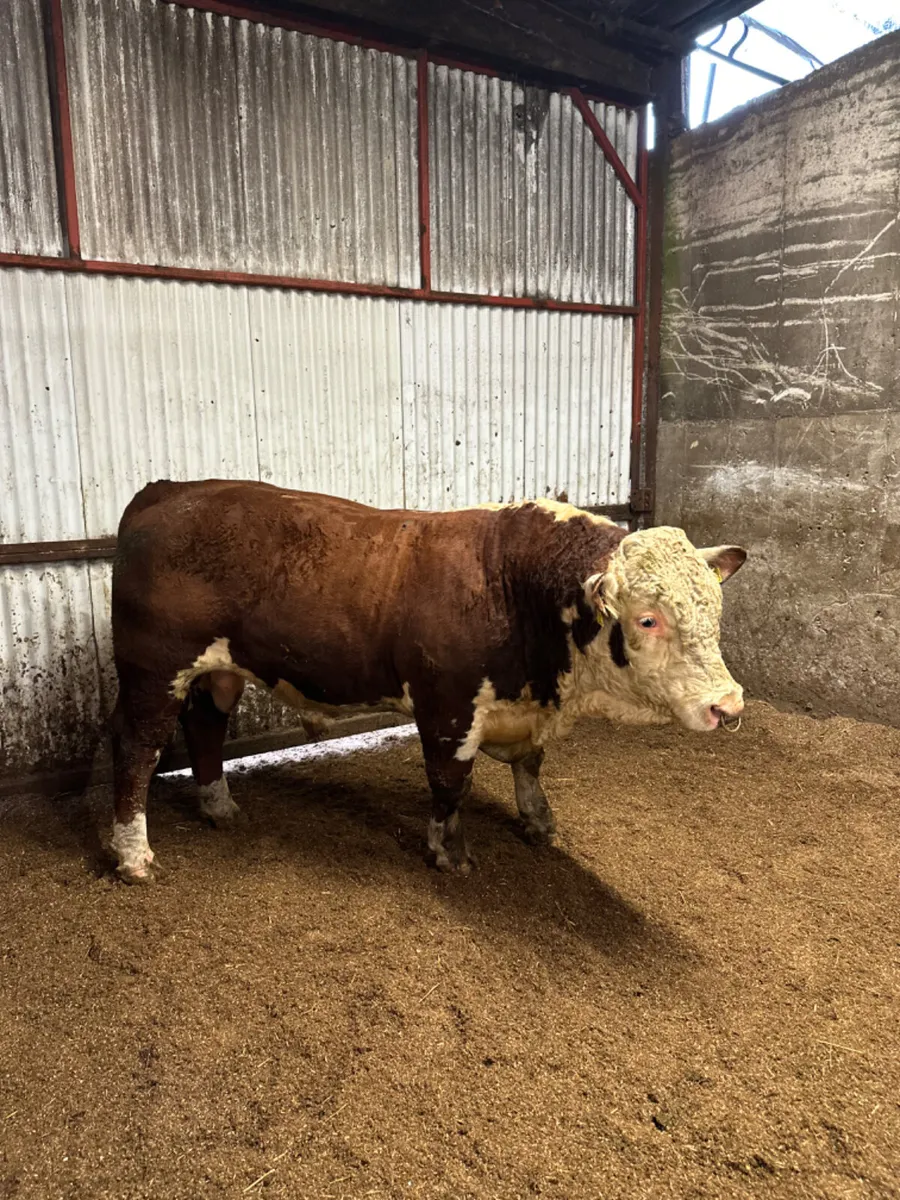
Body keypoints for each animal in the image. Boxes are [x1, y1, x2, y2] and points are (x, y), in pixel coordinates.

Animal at [109, 480, 746, 883]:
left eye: (715, 609)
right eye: (647, 619)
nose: (729, 705)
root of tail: (168, 490)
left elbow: (530, 767)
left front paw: (538, 823)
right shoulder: (447, 708)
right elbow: (450, 783)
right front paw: (449, 853)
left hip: (216, 672)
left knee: (205, 727)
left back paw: (219, 807)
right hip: (151, 671)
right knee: (138, 750)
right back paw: (133, 856)